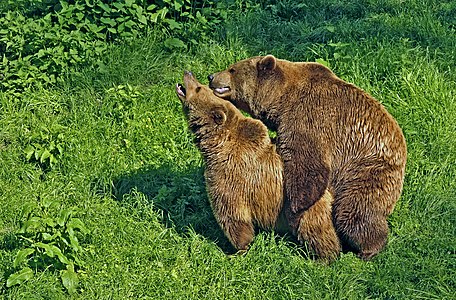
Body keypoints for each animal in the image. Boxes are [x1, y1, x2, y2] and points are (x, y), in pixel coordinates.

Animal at [176, 69, 340, 260]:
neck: (217, 145)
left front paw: (236, 250)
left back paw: (323, 257)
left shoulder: (230, 175)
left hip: (309, 207)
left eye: (198, 88)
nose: (188, 72)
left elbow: (232, 215)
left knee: (315, 229)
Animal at [208, 55, 408, 260]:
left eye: (232, 69)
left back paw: (369, 249)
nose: (211, 76)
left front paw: (297, 205)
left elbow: (306, 162)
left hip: (367, 169)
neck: (282, 97)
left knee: (354, 211)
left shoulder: (310, 116)